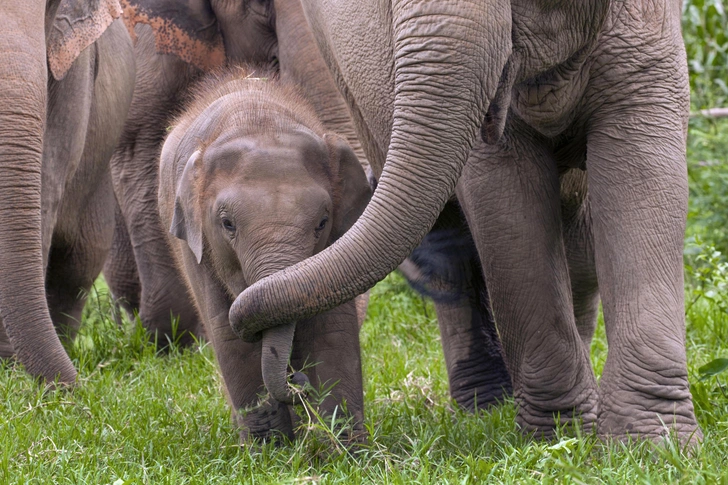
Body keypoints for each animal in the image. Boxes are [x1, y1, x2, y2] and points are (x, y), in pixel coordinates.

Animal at [159, 68, 370, 442]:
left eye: (322, 222)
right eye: (227, 224)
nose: (298, 383)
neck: (257, 121)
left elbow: (332, 329)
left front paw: (347, 451)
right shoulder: (200, 250)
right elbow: (229, 336)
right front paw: (270, 450)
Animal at [230, 0, 704, 440]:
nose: (296, 385)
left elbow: (643, 166)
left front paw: (652, 445)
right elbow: (506, 201)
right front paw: (560, 438)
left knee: (579, 240)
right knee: (452, 238)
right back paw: (485, 404)